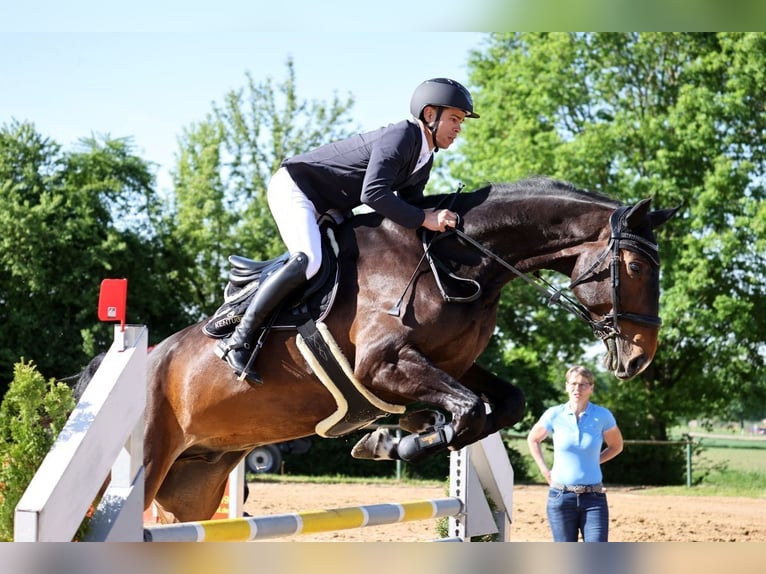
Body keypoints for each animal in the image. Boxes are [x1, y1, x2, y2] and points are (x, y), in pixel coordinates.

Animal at [142, 177, 677, 522]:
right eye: (634, 267)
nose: (639, 358)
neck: (454, 260)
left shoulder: (452, 362)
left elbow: (501, 406)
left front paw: (400, 436)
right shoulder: (384, 364)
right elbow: (469, 410)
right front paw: (394, 439)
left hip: (195, 483)